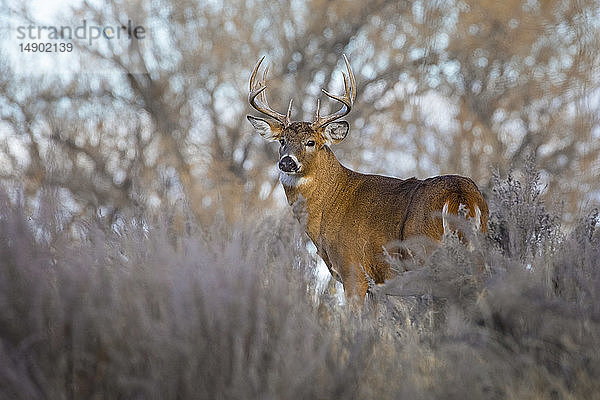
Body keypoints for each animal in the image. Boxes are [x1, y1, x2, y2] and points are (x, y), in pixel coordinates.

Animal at [246, 54, 490, 302]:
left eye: (311, 142)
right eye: (282, 140)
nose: (287, 162)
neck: (330, 204)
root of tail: (461, 196)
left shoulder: (353, 271)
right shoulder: (375, 288)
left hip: (429, 256)